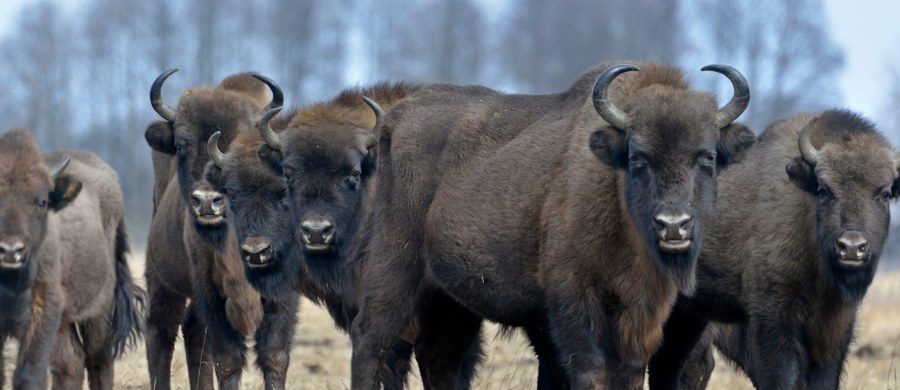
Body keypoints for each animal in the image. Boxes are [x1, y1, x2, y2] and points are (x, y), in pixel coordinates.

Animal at [0, 129, 143, 388]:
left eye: (42, 201)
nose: (11, 250)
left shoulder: (43, 312)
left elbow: (29, 375)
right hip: (66, 322)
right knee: (70, 364)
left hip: (99, 311)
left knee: (98, 360)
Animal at [141, 70, 296, 390]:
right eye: (180, 146)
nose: (207, 201)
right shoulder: (210, 291)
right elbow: (227, 360)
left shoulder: (283, 295)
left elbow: (274, 356)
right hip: (161, 276)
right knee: (161, 330)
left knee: (191, 330)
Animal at [348, 62, 756, 388]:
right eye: (638, 157)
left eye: (707, 156)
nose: (674, 225)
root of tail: (394, 120)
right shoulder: (573, 301)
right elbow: (589, 371)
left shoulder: (640, 314)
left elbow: (629, 373)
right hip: (396, 266)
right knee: (371, 338)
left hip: (449, 298)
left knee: (439, 355)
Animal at [648, 109, 892, 390]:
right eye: (824, 190)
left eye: (885, 193)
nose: (852, 247)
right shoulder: (772, 319)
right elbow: (782, 376)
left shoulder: (836, 328)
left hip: (688, 315)